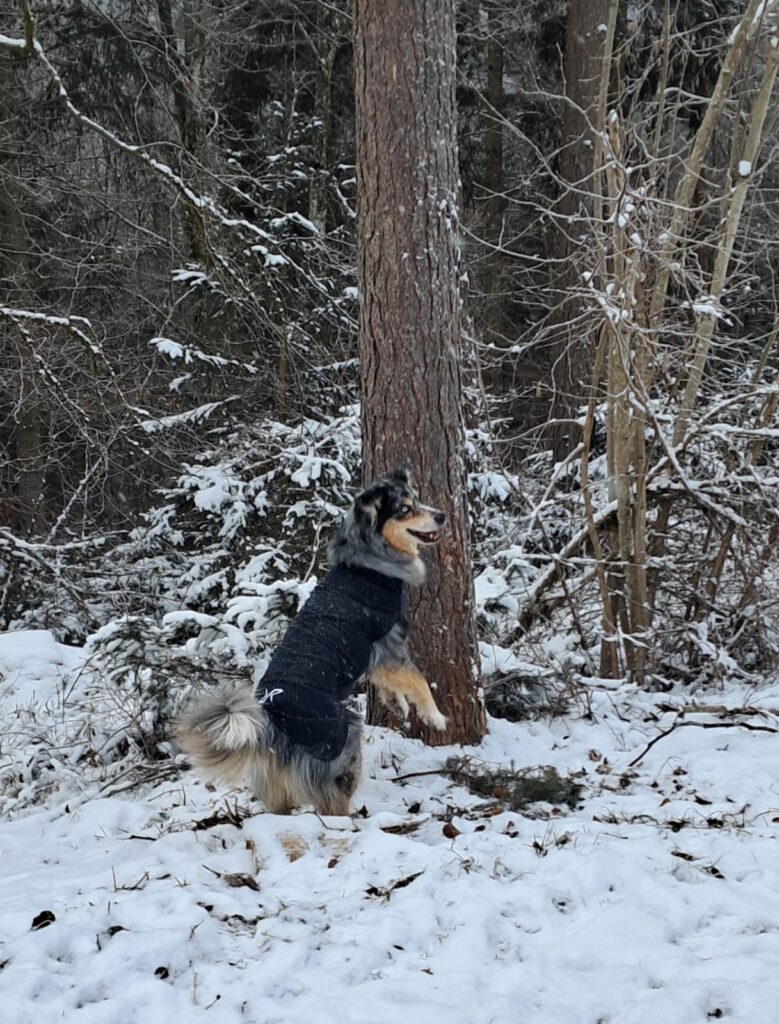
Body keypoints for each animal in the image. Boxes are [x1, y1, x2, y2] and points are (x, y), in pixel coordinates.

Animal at [175, 464, 448, 815]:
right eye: (404, 509)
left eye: (417, 500)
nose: (441, 516)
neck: (366, 563)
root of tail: (270, 721)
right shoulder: (388, 646)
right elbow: (418, 681)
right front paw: (435, 716)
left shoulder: (373, 654)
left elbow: (389, 683)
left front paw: (397, 704)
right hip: (342, 738)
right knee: (334, 796)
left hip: (276, 775)